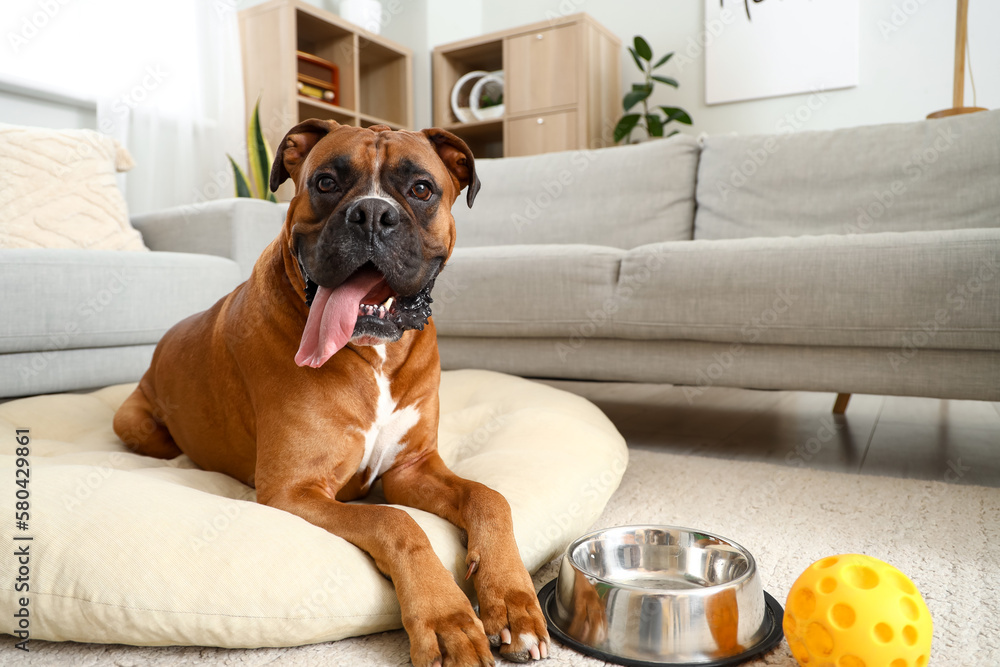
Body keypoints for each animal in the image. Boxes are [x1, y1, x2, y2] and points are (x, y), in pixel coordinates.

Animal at [114, 121, 552, 667]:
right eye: (325, 182)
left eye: (421, 189)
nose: (372, 214)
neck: (374, 356)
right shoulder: (295, 490)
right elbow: (395, 522)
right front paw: (447, 620)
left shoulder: (412, 470)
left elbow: (489, 497)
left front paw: (513, 602)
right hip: (134, 423)